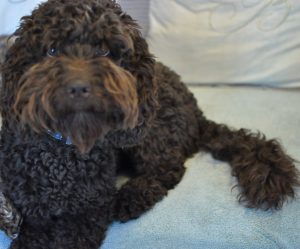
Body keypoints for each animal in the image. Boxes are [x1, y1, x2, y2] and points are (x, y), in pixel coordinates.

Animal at [0, 0, 298, 249]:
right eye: (51, 50)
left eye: (105, 50)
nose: (78, 88)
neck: (60, 157)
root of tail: (197, 114)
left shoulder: (86, 216)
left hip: (150, 132)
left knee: (169, 168)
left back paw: (130, 197)